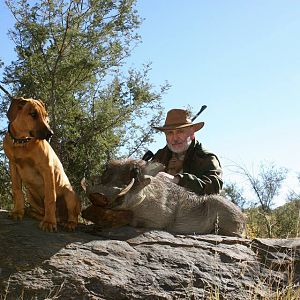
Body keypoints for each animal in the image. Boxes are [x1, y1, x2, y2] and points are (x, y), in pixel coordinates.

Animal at [3, 97, 81, 231]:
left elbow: (50, 197)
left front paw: (49, 222)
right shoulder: (13, 165)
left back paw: (69, 223)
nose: (51, 134)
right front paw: (17, 212)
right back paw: (32, 213)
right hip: (31, 195)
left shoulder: (47, 168)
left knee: (73, 215)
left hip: (69, 193)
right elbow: (17, 191)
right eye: (33, 114)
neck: (22, 142)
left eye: (46, 116)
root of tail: (60, 217)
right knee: (40, 211)